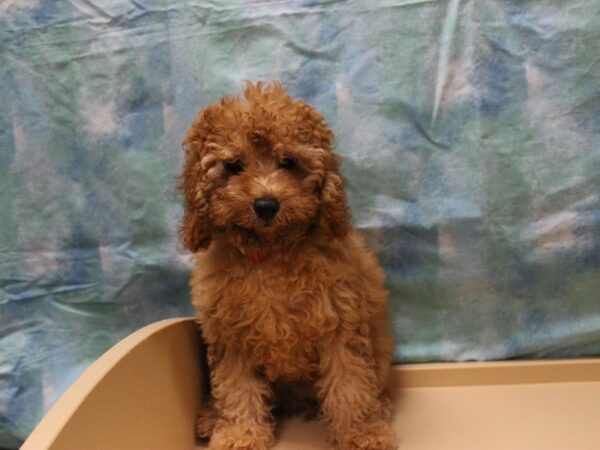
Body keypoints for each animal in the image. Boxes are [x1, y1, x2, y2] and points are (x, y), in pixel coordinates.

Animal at [180, 81, 396, 450]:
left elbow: (350, 383)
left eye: (288, 162)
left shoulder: (341, 322)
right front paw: (240, 434)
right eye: (233, 166)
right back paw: (210, 417)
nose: (266, 204)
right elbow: (236, 387)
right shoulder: (229, 333)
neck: (270, 254)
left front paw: (361, 433)